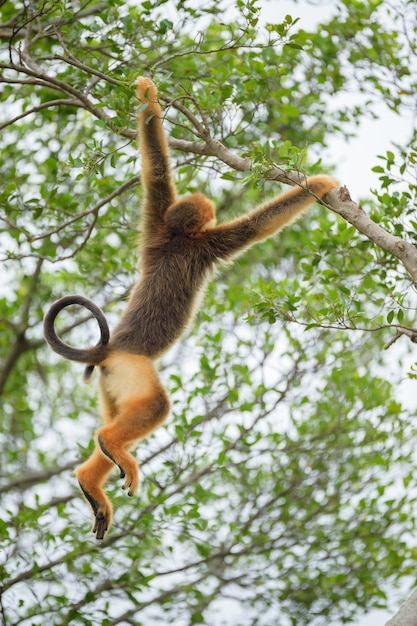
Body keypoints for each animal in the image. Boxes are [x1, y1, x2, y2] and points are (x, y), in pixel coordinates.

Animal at [44, 77, 338, 536]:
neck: (178, 238)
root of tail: (109, 350)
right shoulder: (208, 243)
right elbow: (254, 225)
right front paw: (320, 184)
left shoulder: (156, 227)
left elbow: (154, 169)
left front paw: (146, 94)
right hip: (131, 369)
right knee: (152, 407)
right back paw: (111, 445)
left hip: (110, 388)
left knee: (109, 422)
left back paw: (90, 478)